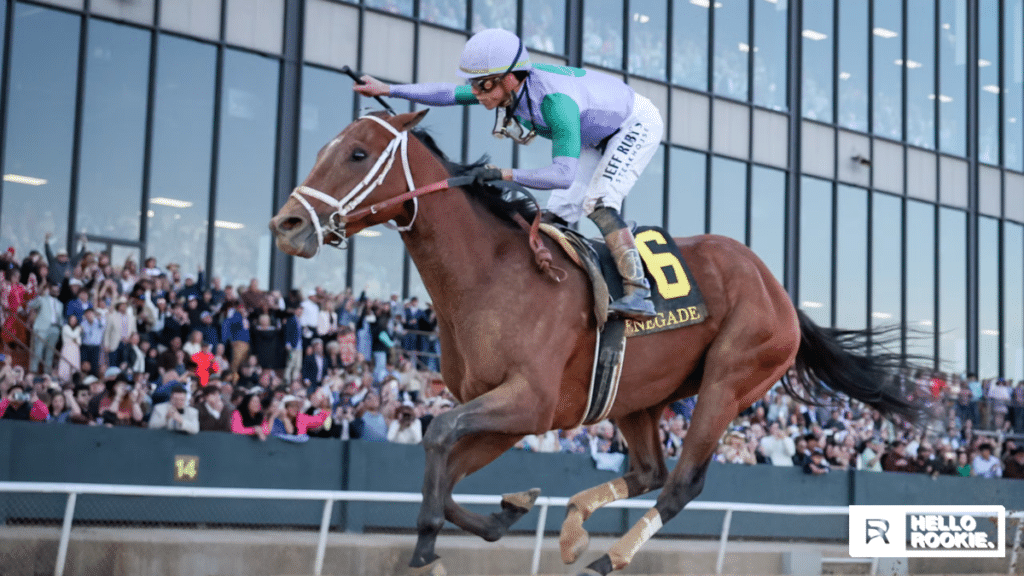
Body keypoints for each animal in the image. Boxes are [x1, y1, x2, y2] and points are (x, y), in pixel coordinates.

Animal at [269, 110, 924, 576]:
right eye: (325, 150)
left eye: (357, 154)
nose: (286, 225)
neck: (490, 274)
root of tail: (779, 289)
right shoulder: (511, 414)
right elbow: (446, 461)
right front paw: (506, 511)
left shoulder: (528, 403)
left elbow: (438, 434)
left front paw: (428, 544)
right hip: (636, 396)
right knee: (649, 470)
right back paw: (573, 525)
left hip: (730, 379)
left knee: (682, 481)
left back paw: (606, 558)